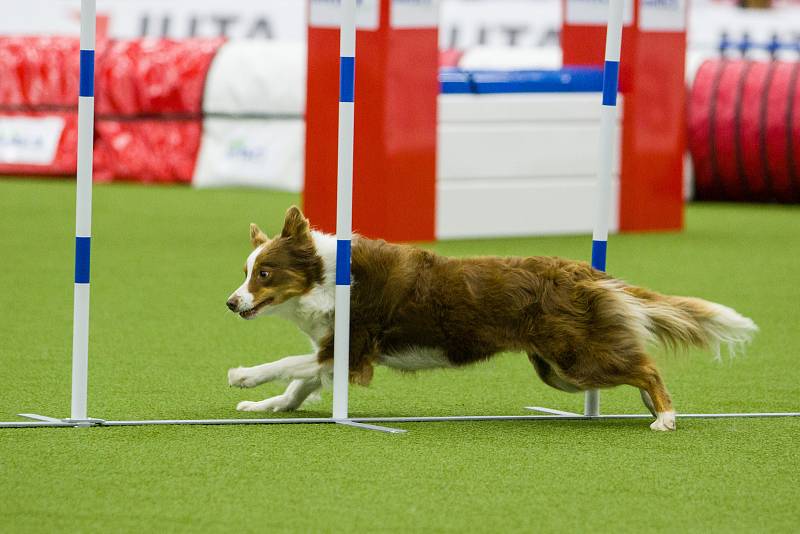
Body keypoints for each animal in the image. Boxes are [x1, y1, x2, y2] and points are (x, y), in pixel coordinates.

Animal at [223, 207, 756, 434]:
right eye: (245, 272)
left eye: (264, 273)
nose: (230, 302)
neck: (325, 277)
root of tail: (585, 272)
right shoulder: (336, 352)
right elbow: (301, 381)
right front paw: (269, 405)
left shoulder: (353, 352)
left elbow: (287, 363)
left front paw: (243, 376)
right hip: (557, 370)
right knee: (637, 364)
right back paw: (654, 408)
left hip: (573, 358)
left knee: (646, 366)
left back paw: (664, 416)